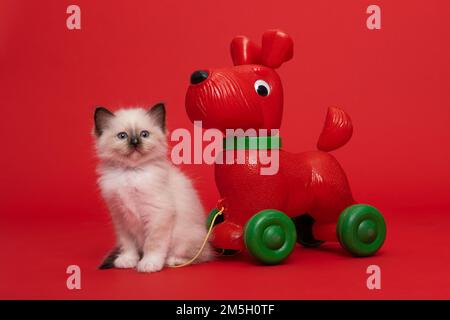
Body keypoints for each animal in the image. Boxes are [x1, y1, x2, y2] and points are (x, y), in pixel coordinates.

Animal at [93, 103, 213, 272]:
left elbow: (153, 244)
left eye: (144, 134)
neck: (131, 173)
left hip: (185, 239)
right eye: (122, 136)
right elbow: (128, 244)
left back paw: (173, 260)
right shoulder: (121, 218)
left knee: (201, 255)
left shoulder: (158, 214)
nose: (135, 142)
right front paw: (128, 260)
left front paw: (149, 264)